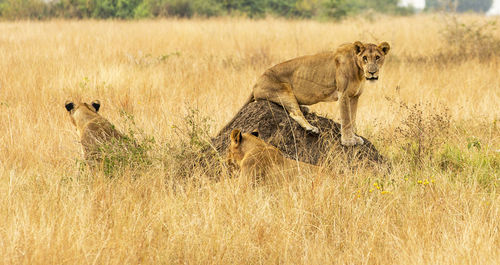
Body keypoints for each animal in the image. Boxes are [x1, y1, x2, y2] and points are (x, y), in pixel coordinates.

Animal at [227, 40, 390, 146]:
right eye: (365, 58)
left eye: (377, 57)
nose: (372, 72)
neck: (359, 71)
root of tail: (255, 83)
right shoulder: (343, 94)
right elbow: (346, 118)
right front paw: (348, 141)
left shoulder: (354, 96)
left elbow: (352, 119)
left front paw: (354, 137)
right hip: (283, 90)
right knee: (294, 113)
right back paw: (310, 127)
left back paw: (305, 108)